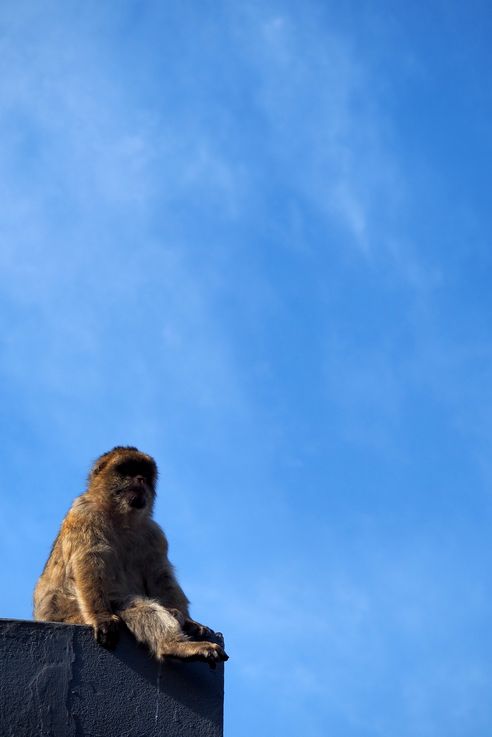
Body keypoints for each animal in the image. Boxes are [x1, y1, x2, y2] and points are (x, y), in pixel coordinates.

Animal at [33, 446, 228, 667]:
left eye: (144, 472)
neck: (122, 517)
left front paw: (190, 621)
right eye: (127, 470)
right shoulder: (84, 514)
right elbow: (89, 560)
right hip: (67, 610)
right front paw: (101, 617)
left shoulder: (154, 533)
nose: (140, 479)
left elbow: (160, 575)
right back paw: (174, 646)